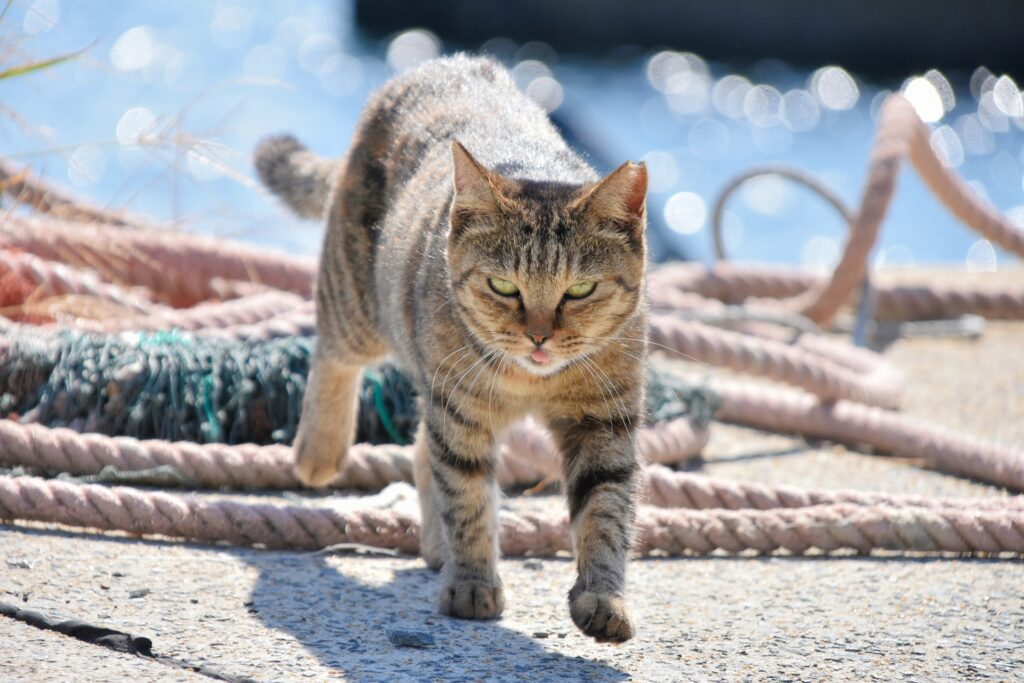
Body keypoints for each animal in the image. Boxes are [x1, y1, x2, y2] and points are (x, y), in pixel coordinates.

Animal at [260, 53, 651, 643]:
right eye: (504, 286)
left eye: (580, 289)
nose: (539, 335)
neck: (531, 380)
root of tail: (438, 63)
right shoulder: (462, 410)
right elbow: (467, 498)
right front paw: (471, 583)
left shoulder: (603, 420)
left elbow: (605, 508)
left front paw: (604, 597)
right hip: (359, 299)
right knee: (335, 353)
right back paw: (319, 452)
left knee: (423, 448)